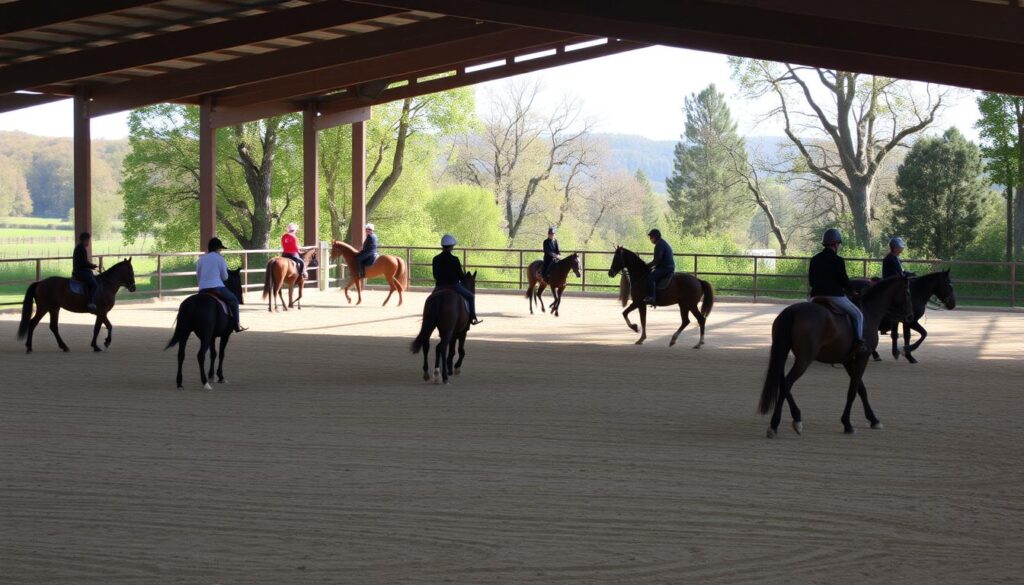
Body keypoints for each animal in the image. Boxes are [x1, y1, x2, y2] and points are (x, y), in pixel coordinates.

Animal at [757, 276, 917, 436]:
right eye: (908, 293)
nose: (910, 316)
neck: (869, 311)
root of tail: (792, 311)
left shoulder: (848, 361)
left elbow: (861, 389)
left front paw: (873, 419)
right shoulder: (862, 357)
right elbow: (853, 391)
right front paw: (848, 424)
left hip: (783, 353)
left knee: (782, 382)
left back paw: (796, 418)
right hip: (804, 359)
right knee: (787, 383)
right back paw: (775, 424)